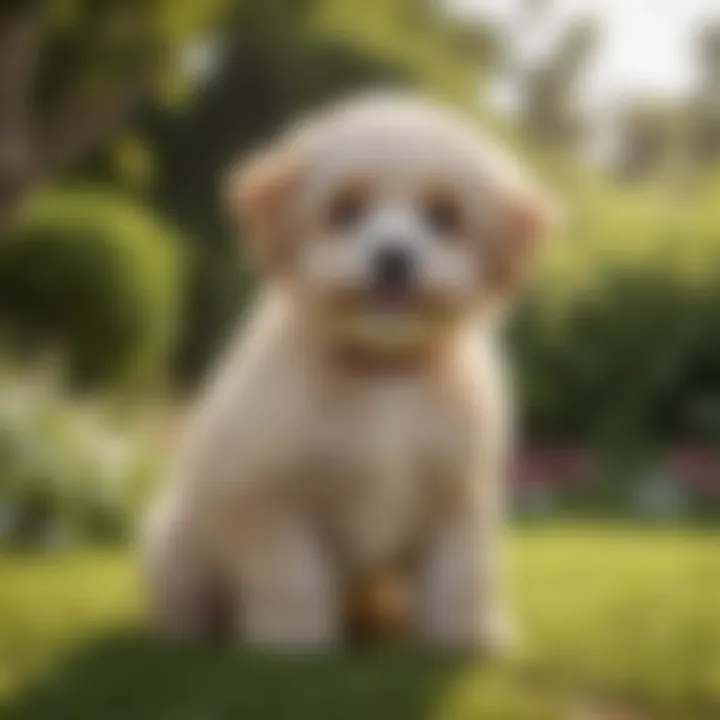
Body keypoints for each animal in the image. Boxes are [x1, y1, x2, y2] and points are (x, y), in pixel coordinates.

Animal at [143, 93, 556, 648]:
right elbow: (292, 576)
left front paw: (465, 637)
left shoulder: (457, 498)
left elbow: (460, 573)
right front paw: (292, 641)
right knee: (187, 600)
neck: (383, 370)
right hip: (175, 547)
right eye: (345, 209)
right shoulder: (269, 500)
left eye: (444, 216)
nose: (394, 257)